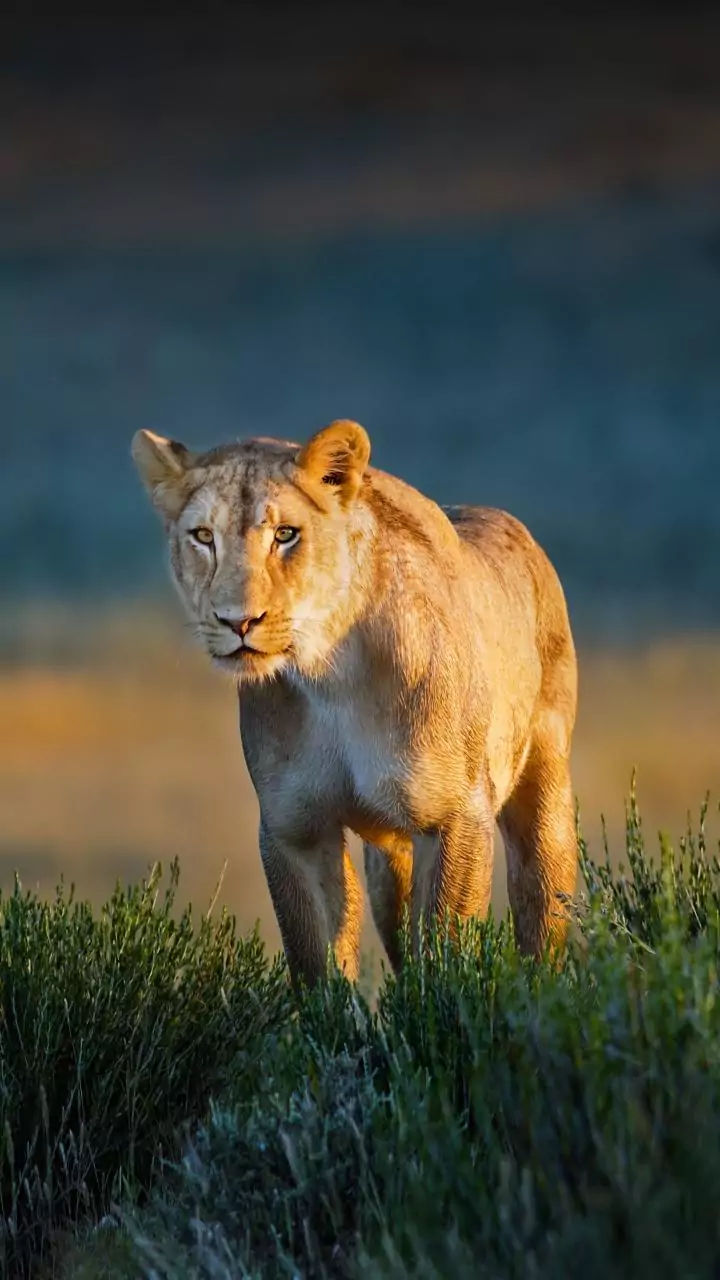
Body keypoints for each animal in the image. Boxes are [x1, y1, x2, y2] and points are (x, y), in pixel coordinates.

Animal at [132, 419, 578, 985]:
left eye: (285, 534)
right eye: (203, 536)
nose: (239, 621)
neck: (330, 676)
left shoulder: (456, 815)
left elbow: (446, 955)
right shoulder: (295, 830)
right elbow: (319, 968)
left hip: (543, 794)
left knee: (542, 911)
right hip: (390, 856)